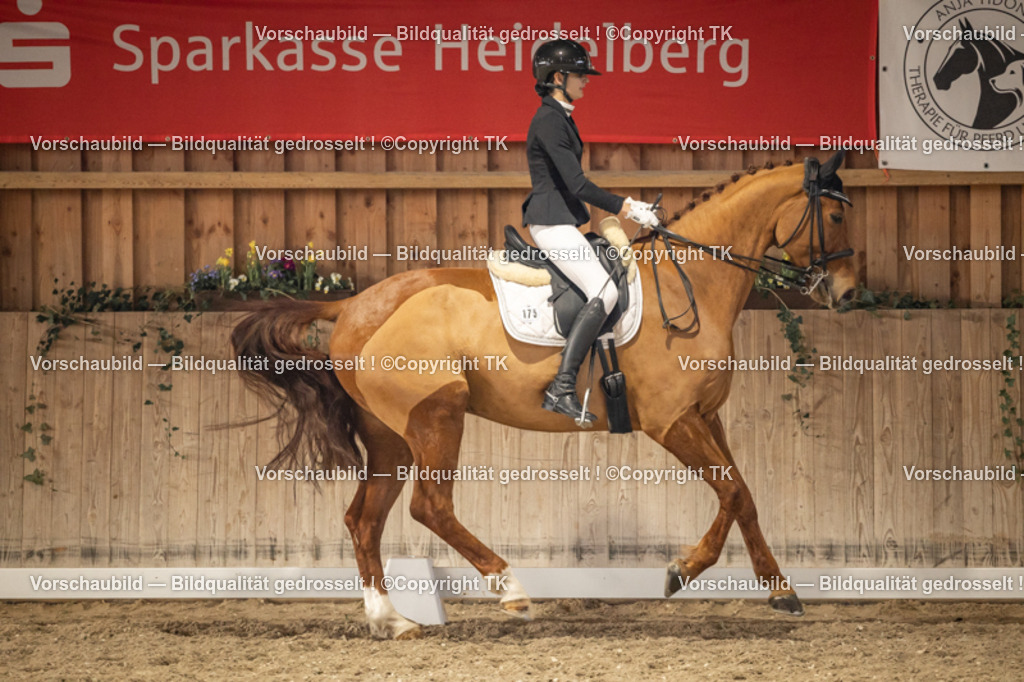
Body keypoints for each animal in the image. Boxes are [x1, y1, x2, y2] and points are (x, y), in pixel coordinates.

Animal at [230, 151, 857, 639]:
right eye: (832, 215)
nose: (848, 295)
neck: (692, 283)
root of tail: (354, 306)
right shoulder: (672, 421)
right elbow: (731, 491)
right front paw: (682, 570)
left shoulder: (705, 416)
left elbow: (742, 496)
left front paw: (779, 590)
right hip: (437, 414)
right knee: (429, 506)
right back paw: (511, 590)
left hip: (391, 436)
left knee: (364, 519)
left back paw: (392, 621)